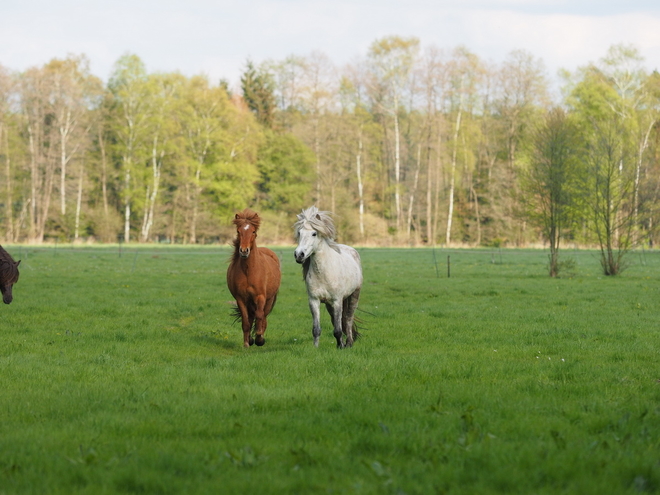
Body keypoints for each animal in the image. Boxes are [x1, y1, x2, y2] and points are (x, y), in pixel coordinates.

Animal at [227, 209, 282, 348]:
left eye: (253, 231)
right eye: (238, 231)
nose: (244, 251)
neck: (249, 271)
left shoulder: (260, 296)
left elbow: (260, 316)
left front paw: (259, 338)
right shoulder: (241, 298)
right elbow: (246, 321)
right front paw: (247, 343)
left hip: (269, 299)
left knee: (263, 317)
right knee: (251, 317)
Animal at [292, 206, 360, 348]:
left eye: (314, 233)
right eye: (299, 233)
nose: (299, 255)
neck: (323, 273)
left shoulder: (337, 301)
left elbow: (338, 329)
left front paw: (341, 347)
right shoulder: (314, 300)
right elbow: (316, 329)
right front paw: (316, 348)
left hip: (354, 295)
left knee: (348, 319)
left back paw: (349, 343)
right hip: (329, 304)